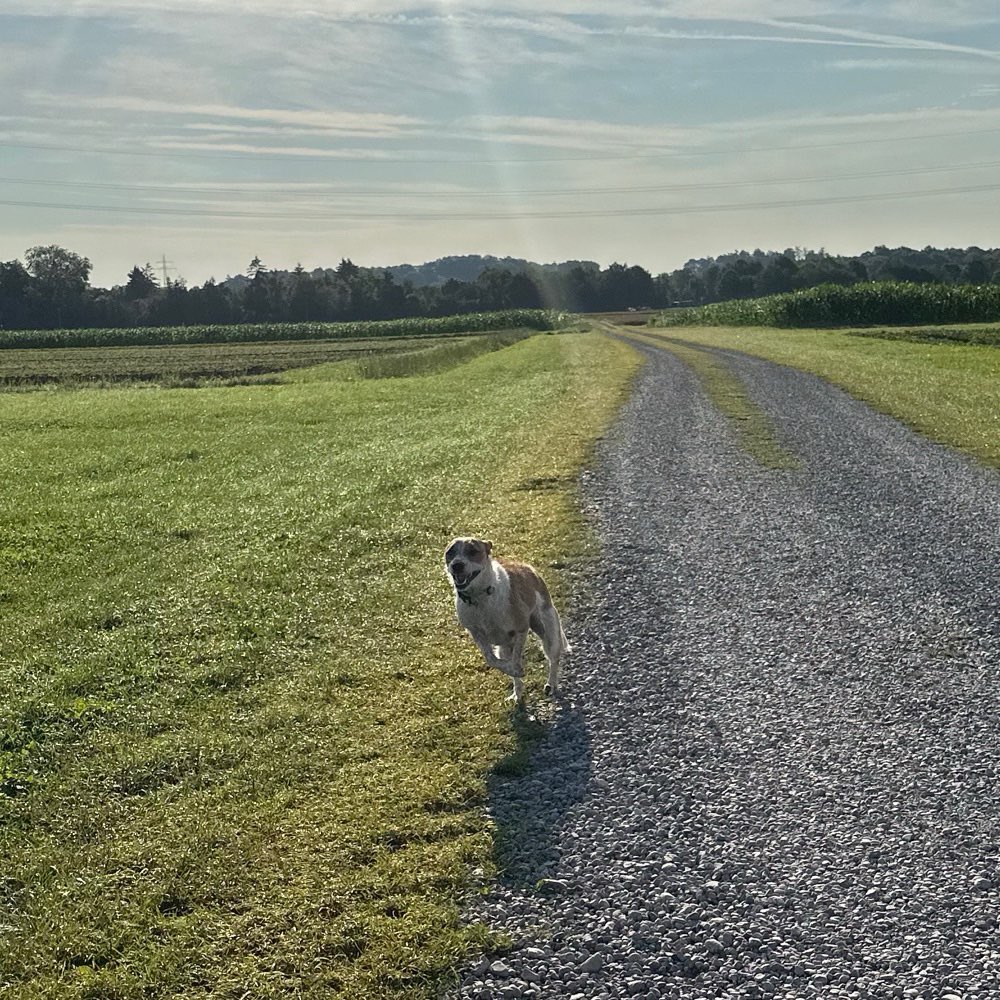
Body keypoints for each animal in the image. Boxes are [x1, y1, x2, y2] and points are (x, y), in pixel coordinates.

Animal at [446, 540, 572, 704]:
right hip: (504, 648)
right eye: (450, 552)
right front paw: (513, 671)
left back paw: (551, 684)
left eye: (473, 551)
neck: (480, 598)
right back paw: (517, 694)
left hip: (548, 628)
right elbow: (492, 660)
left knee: (553, 659)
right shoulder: (477, 634)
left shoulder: (521, 629)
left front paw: (516, 668)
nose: (457, 565)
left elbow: (516, 658)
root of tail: (528, 567)